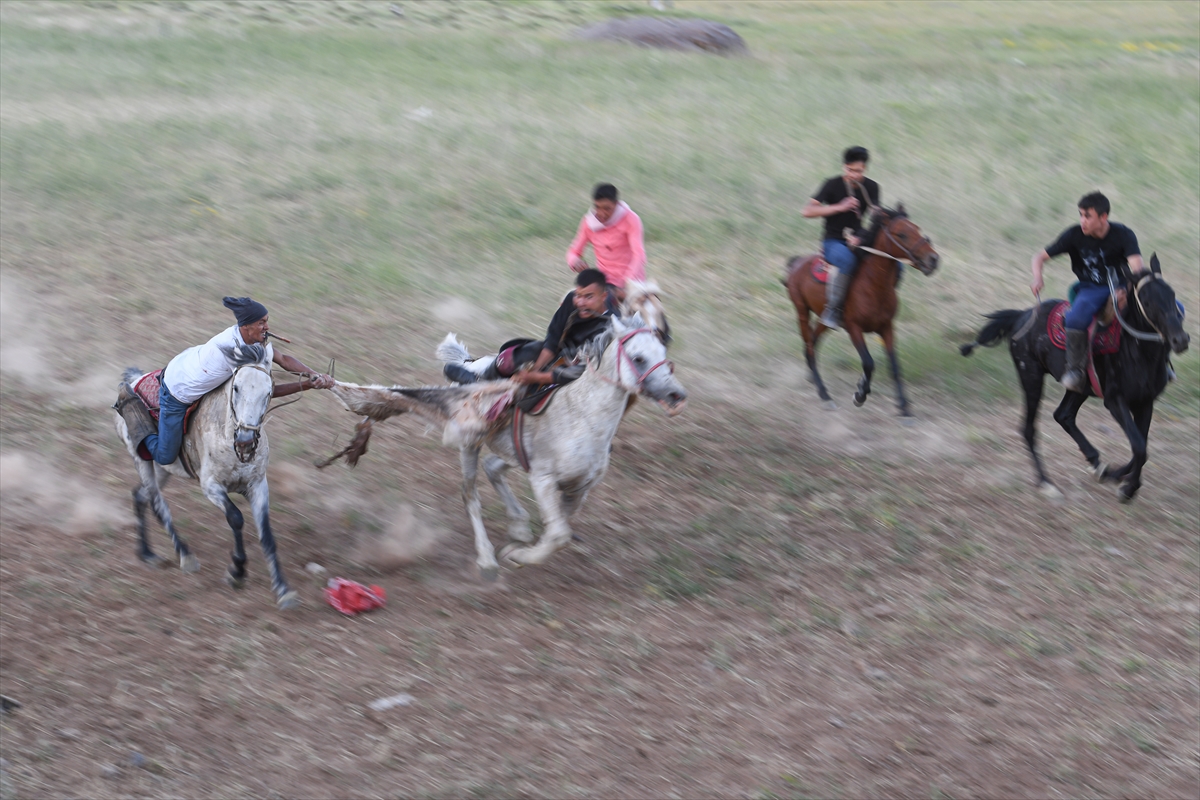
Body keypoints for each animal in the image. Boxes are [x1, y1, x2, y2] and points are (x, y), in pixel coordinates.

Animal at [112, 367, 300, 609]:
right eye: (236, 388)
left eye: (269, 392)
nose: (245, 440)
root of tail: (134, 381)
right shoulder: (211, 486)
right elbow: (235, 517)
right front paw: (237, 572)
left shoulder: (258, 486)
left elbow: (266, 535)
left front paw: (283, 590)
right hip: (143, 460)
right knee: (157, 504)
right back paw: (185, 556)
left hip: (163, 467)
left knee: (140, 496)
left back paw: (147, 553)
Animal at [324, 314, 691, 582]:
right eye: (638, 357)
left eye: (664, 355)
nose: (676, 395)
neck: (581, 416)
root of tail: (471, 367)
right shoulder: (543, 479)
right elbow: (558, 534)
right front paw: (516, 556)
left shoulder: (580, 486)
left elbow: (561, 528)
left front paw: (521, 544)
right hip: (470, 445)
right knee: (470, 494)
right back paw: (487, 559)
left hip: (510, 453)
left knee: (493, 470)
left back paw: (518, 525)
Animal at [782, 206, 940, 417]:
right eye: (902, 234)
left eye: (917, 229)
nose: (933, 259)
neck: (873, 285)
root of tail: (797, 263)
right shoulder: (853, 328)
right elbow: (869, 363)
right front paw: (860, 394)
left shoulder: (887, 327)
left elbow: (895, 366)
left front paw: (904, 407)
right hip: (801, 311)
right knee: (809, 345)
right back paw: (824, 395)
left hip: (824, 319)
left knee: (812, 344)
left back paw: (812, 378)